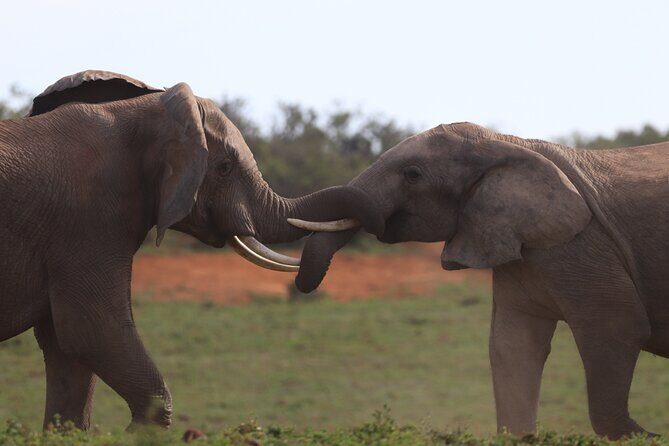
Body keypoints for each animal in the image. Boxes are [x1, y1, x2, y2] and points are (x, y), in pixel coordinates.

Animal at [290, 122, 669, 439]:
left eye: (412, 175)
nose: (302, 287)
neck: (503, 143)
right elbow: (512, 346)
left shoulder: (582, 245)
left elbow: (617, 327)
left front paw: (647, 436)